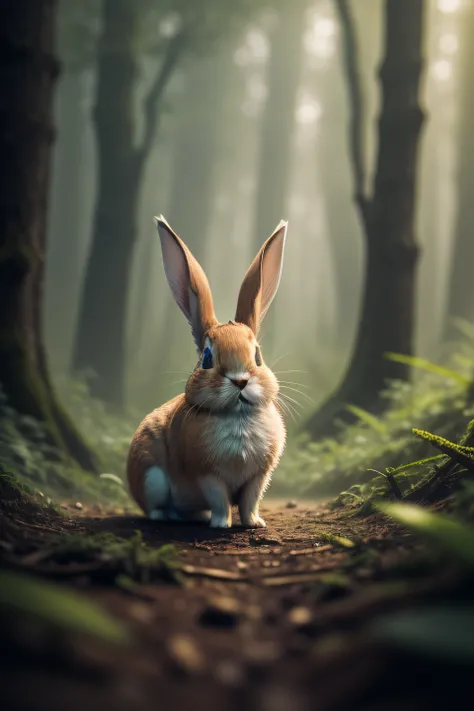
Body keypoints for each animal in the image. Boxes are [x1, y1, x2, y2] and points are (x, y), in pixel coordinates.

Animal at [126, 214, 286, 524]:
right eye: (207, 358)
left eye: (258, 356)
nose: (240, 381)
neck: (237, 416)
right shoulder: (207, 475)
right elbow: (220, 500)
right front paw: (221, 525)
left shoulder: (258, 478)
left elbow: (250, 502)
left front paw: (254, 524)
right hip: (152, 478)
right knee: (153, 506)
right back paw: (169, 516)